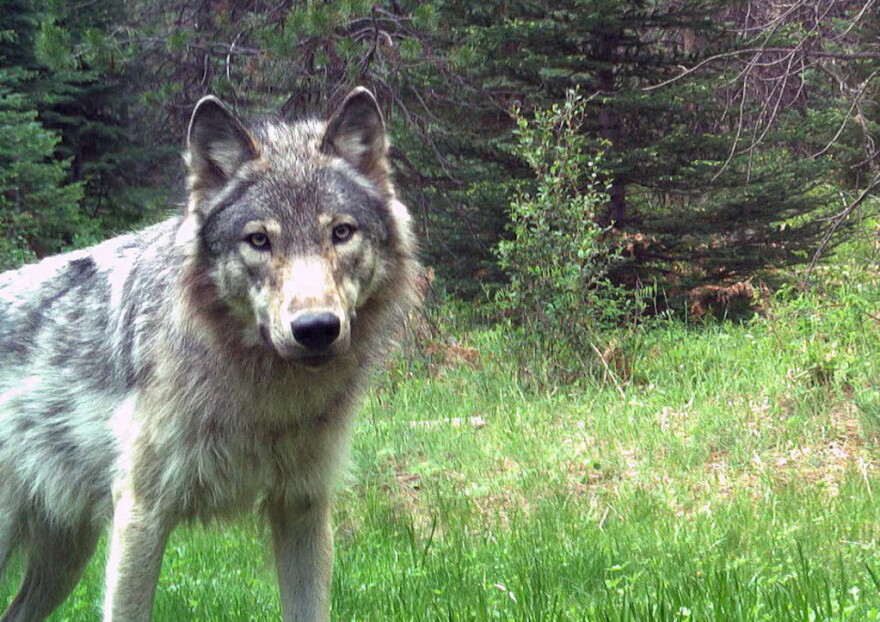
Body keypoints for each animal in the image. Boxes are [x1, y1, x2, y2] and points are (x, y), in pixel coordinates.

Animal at [0, 87, 419, 622]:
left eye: (341, 233)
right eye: (259, 240)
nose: (316, 329)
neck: (265, 398)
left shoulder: (302, 506)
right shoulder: (142, 513)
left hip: (65, 558)